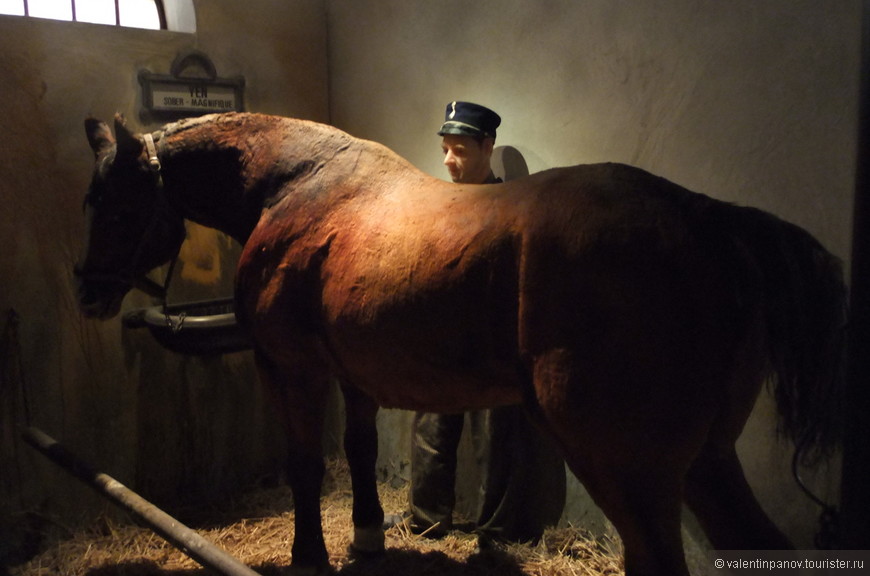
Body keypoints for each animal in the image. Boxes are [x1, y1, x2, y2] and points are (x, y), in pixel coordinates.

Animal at [78, 112, 848, 576]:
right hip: (706, 460)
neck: (295, 187)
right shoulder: (352, 375)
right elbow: (358, 452)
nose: (87, 292)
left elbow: (304, 465)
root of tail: (706, 220)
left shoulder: (289, 368)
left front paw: (310, 557)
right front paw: (367, 537)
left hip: (625, 465)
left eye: (113, 205)